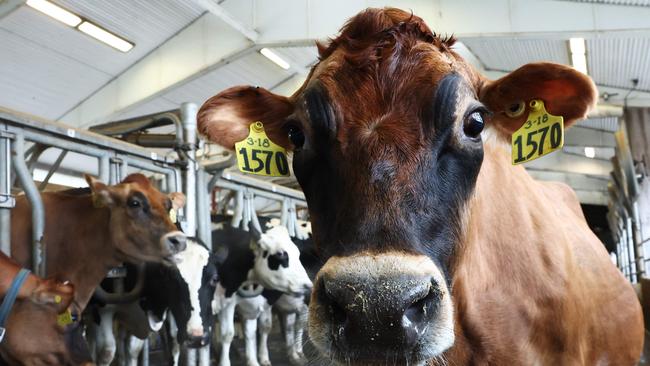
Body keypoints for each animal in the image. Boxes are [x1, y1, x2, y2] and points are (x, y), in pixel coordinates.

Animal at [211, 220, 312, 366]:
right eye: (280, 255)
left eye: (298, 255)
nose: (308, 286)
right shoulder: (226, 303)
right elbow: (227, 334)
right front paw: (224, 362)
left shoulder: (259, 303)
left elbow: (257, 330)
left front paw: (256, 360)